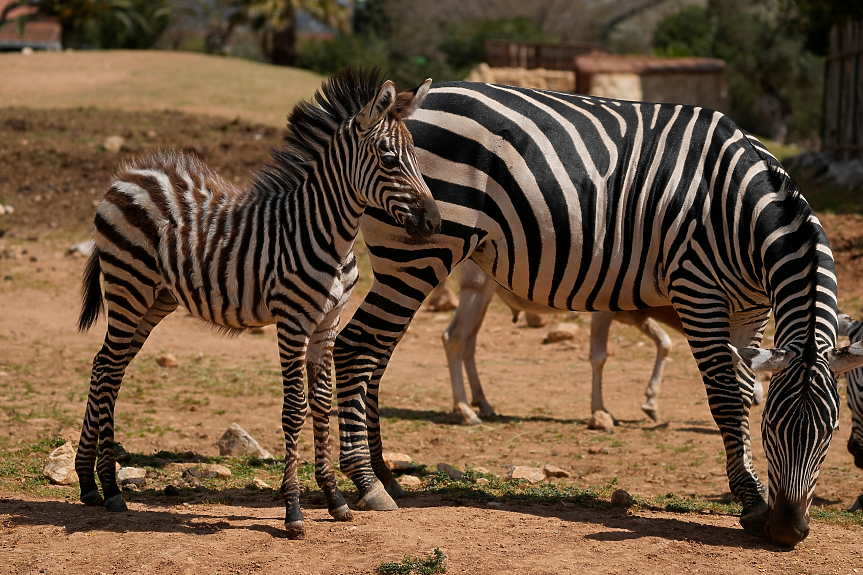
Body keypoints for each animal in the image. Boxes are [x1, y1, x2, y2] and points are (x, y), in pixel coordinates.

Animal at [74, 70, 438, 544]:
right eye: (390, 159)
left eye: (416, 156)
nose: (435, 221)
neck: (329, 233)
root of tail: (130, 173)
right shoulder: (292, 322)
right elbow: (295, 408)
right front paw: (294, 511)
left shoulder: (327, 324)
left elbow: (322, 402)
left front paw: (334, 499)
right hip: (128, 287)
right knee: (106, 370)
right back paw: (109, 487)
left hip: (154, 299)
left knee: (107, 368)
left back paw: (90, 483)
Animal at [332, 82, 863, 548]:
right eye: (774, 431)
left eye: (830, 432)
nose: (788, 531)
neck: (739, 210)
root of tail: (398, 110)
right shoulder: (697, 290)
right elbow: (727, 400)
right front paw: (752, 503)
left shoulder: (750, 309)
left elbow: (746, 390)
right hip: (420, 254)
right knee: (358, 346)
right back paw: (367, 482)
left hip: (411, 262)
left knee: (376, 355)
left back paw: (385, 473)